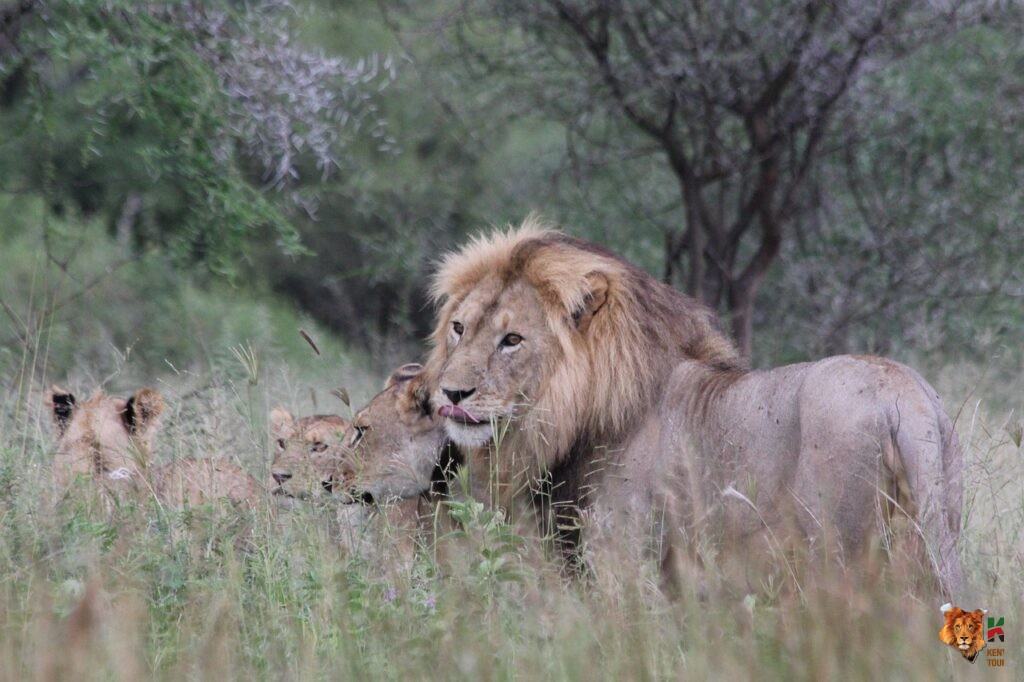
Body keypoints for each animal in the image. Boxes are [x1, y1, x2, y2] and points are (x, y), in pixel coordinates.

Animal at [420, 217, 964, 595]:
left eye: (512, 340)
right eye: (459, 328)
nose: (449, 393)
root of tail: (905, 396)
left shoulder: (624, 557)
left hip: (836, 553)